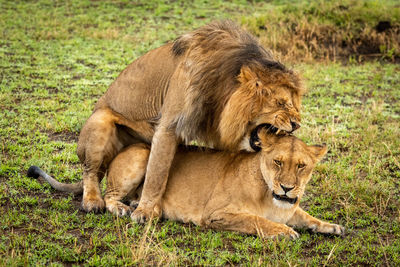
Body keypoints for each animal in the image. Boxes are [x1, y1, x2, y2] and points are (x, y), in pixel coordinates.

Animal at [27, 132, 344, 239]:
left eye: (301, 166)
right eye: (277, 162)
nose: (288, 188)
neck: (270, 195)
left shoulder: (290, 209)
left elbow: (307, 216)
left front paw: (331, 226)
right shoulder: (216, 214)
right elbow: (256, 220)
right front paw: (284, 232)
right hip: (144, 155)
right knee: (107, 197)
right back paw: (128, 209)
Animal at [71, 20, 304, 222]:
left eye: (294, 104)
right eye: (281, 103)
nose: (297, 124)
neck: (221, 90)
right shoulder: (169, 125)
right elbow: (157, 174)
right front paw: (145, 212)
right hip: (99, 122)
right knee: (92, 173)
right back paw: (95, 202)